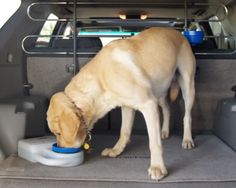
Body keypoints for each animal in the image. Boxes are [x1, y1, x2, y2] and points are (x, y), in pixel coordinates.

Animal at [46, 26, 195, 181]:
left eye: (58, 133)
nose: (60, 149)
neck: (101, 79)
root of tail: (178, 32)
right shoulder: (127, 106)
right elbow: (124, 131)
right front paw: (116, 150)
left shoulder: (148, 104)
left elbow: (154, 143)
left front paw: (157, 167)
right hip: (159, 87)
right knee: (166, 109)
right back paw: (165, 131)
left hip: (187, 85)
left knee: (187, 116)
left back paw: (187, 139)